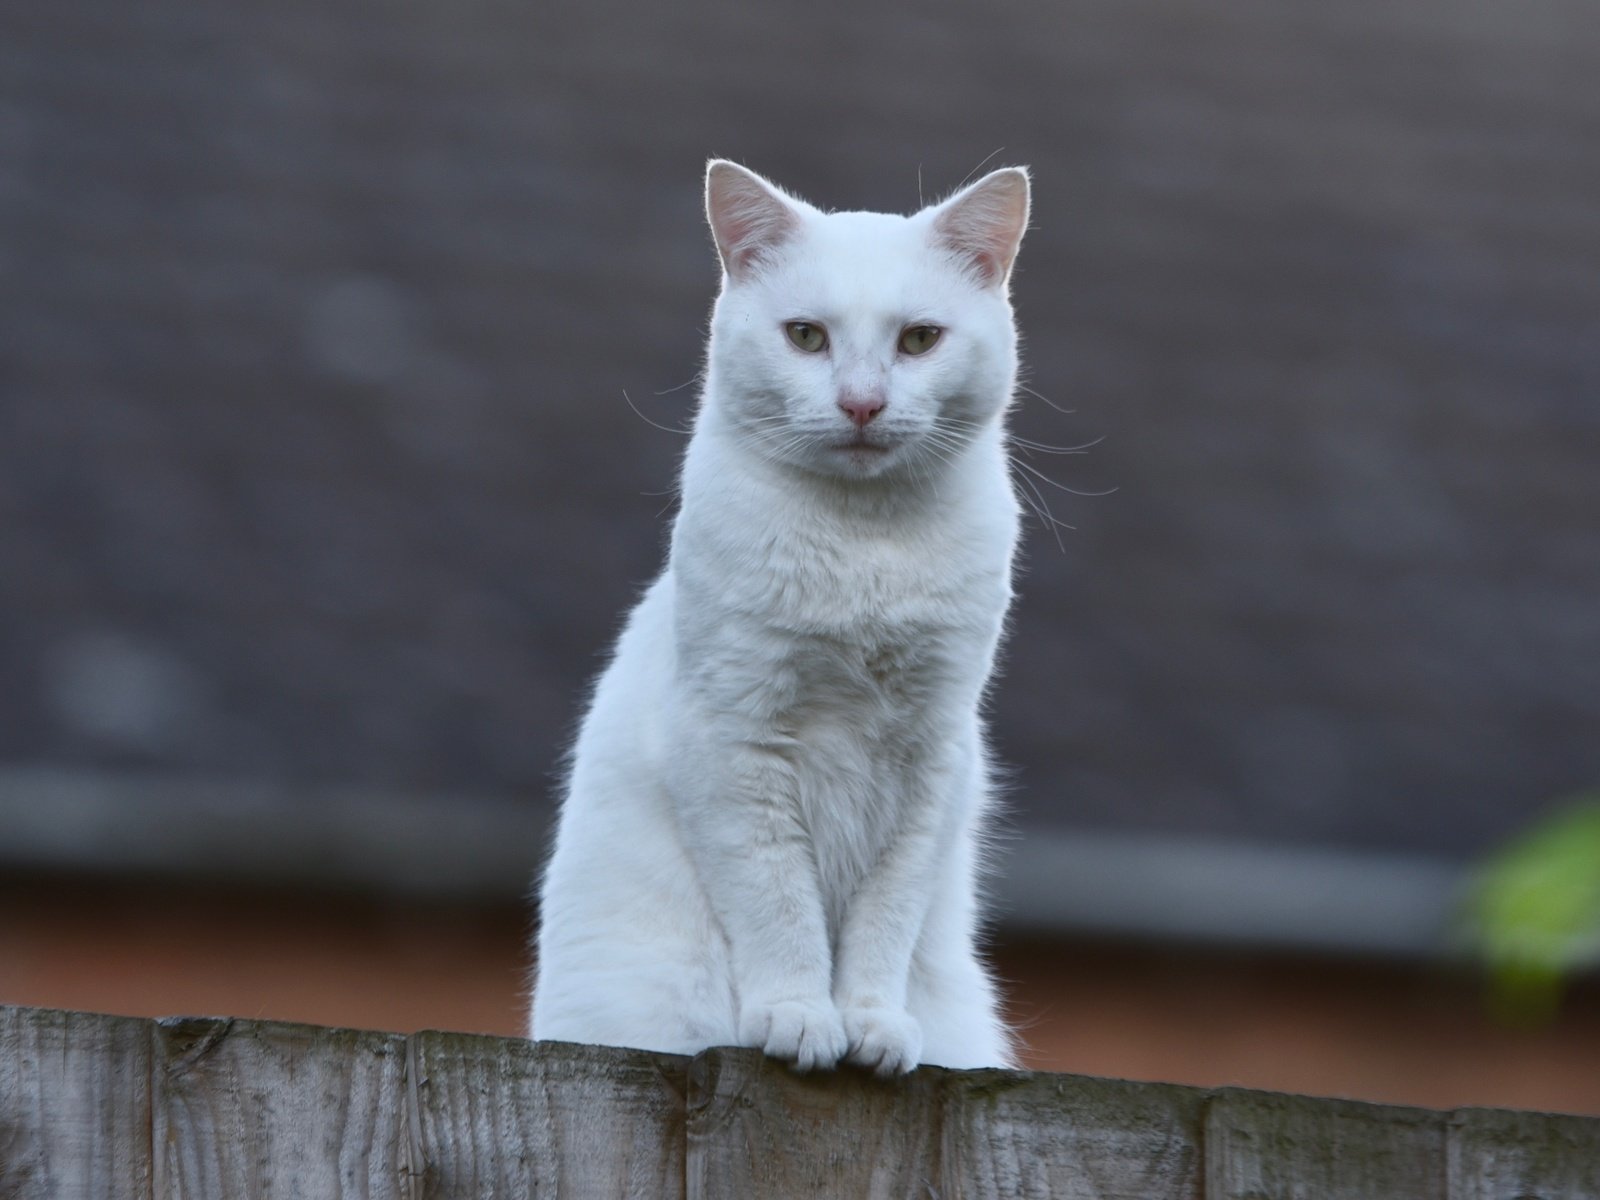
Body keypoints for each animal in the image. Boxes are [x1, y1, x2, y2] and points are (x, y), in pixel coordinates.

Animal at [531, 162, 1030, 1081]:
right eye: (806, 336)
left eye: (919, 340)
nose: (862, 404)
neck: (865, 547)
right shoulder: (733, 742)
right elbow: (778, 903)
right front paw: (798, 1017)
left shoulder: (931, 760)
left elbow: (883, 920)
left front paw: (872, 1025)